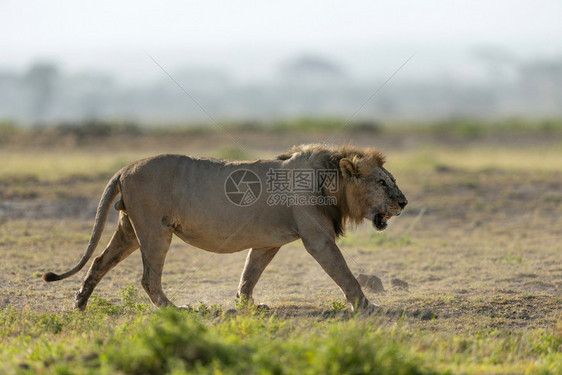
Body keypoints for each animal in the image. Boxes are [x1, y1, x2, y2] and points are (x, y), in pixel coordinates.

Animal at [40, 145, 406, 312]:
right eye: (382, 182)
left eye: (391, 180)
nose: (403, 202)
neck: (332, 181)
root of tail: (125, 167)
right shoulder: (317, 238)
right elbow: (343, 271)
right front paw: (367, 306)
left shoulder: (267, 243)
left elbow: (250, 273)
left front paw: (247, 304)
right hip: (155, 229)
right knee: (147, 278)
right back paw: (175, 310)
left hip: (129, 228)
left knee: (99, 262)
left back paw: (79, 305)